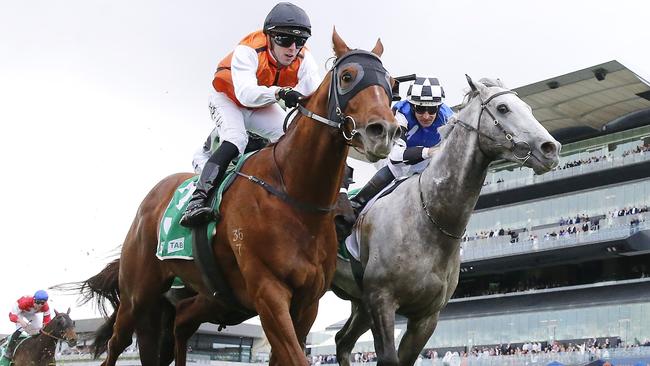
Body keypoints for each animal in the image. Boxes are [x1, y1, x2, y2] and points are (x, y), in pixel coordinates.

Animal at [78, 30, 398, 366]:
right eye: (348, 77)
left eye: (391, 83)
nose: (384, 131)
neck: (295, 195)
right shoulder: (268, 293)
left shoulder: (308, 302)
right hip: (137, 293)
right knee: (118, 342)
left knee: (175, 329)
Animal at [332, 75, 560, 366]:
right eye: (503, 108)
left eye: (529, 108)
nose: (551, 148)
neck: (429, 219)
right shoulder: (381, 300)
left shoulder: (426, 316)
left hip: (360, 303)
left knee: (342, 341)